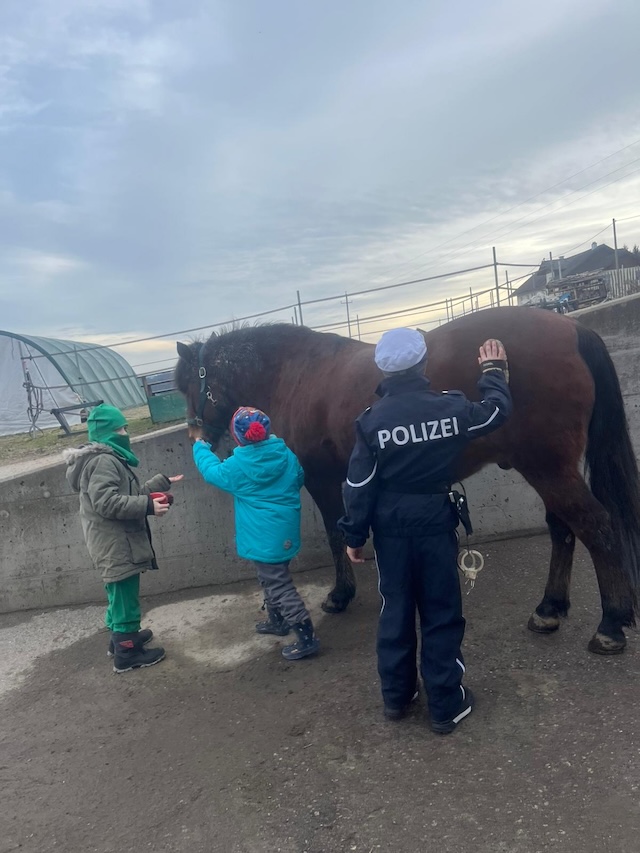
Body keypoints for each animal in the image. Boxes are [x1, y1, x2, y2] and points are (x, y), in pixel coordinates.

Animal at [175, 306, 640, 656]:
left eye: (187, 387)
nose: (197, 436)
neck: (299, 372)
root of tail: (572, 328)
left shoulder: (323, 478)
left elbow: (335, 532)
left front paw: (339, 595)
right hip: (549, 469)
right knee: (563, 528)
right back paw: (549, 609)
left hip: (548, 468)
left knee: (596, 526)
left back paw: (610, 625)